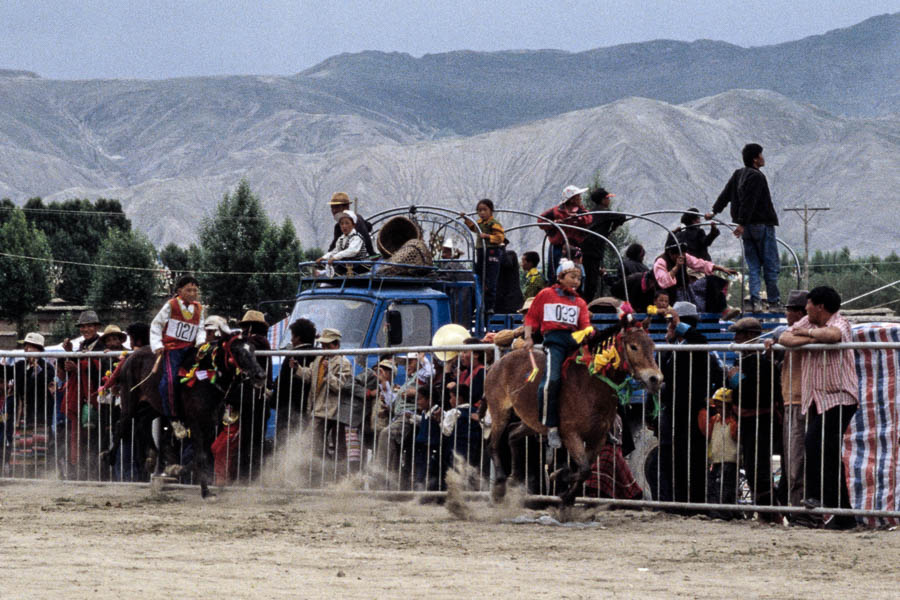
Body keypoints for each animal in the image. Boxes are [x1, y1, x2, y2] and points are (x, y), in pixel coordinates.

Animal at [486, 322, 660, 504]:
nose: (655, 379)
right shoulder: (571, 435)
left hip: (532, 422)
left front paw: (567, 494)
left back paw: (513, 478)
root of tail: (497, 364)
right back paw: (500, 483)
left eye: (652, 346)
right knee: (493, 444)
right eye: (634, 346)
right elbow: (584, 469)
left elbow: (586, 471)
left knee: (512, 434)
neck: (590, 386)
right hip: (500, 412)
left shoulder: (597, 439)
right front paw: (560, 478)